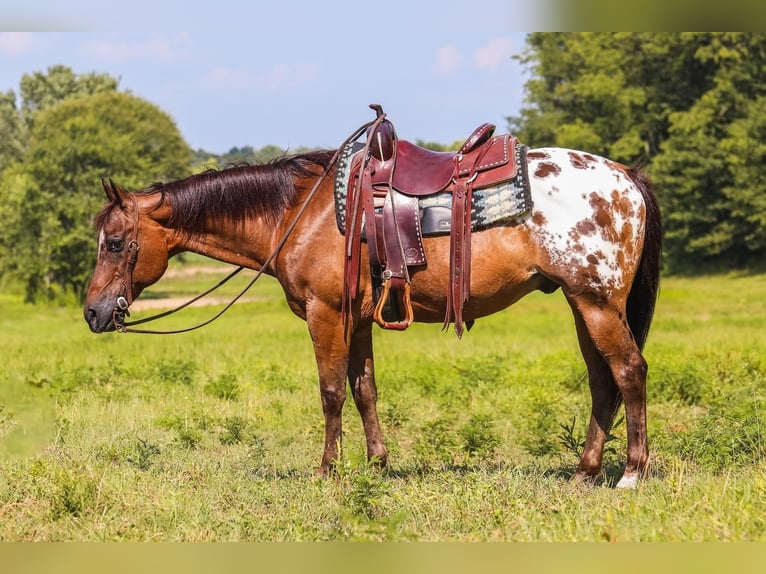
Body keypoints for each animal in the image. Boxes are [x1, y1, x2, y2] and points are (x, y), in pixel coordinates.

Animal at [82, 124, 660, 488]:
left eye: (115, 242)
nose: (92, 312)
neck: (302, 212)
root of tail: (626, 178)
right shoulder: (357, 320)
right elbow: (365, 391)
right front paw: (378, 463)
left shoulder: (327, 314)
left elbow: (332, 392)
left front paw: (327, 470)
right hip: (582, 304)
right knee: (602, 381)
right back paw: (584, 472)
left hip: (598, 303)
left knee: (629, 371)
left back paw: (631, 473)